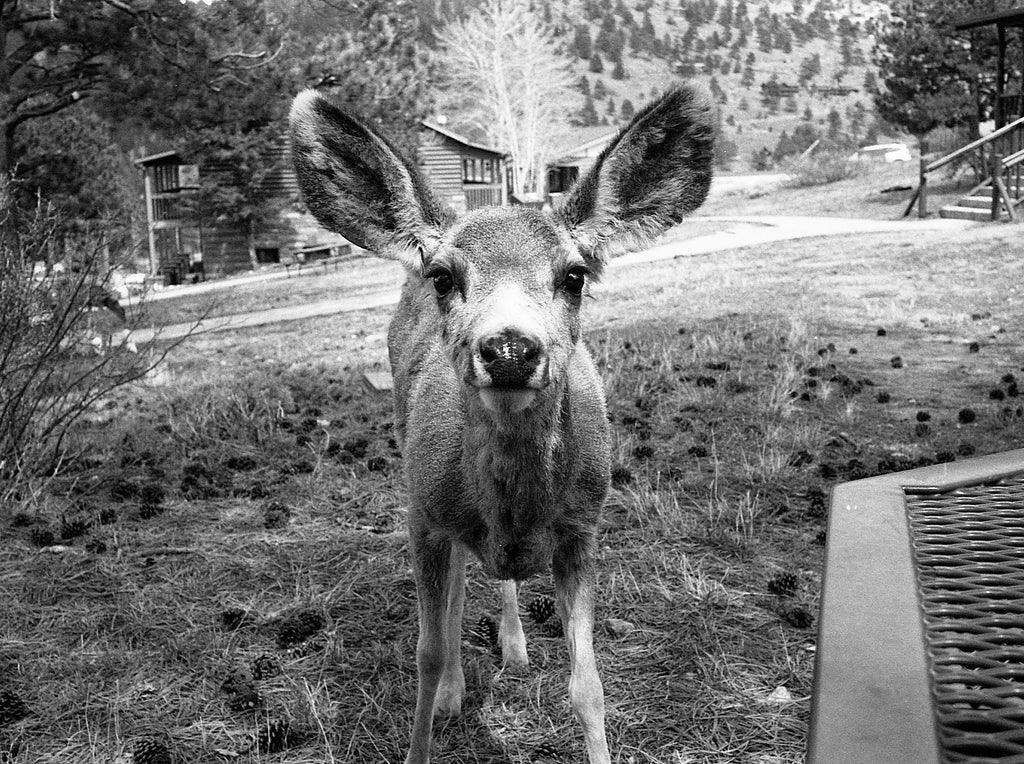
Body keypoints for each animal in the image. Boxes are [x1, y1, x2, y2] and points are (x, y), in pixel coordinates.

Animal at [290, 83, 712, 761]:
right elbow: (428, 652)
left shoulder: (583, 531)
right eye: (444, 277)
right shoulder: (423, 516)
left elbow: (588, 684)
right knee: (459, 590)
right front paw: (431, 715)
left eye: (575, 274)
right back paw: (457, 687)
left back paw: (513, 645)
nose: (510, 349)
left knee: (501, 579)